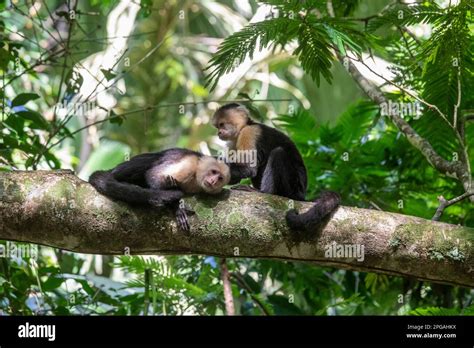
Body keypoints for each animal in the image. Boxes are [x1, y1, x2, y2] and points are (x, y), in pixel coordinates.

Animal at [90, 147, 231, 231]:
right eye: (213, 172)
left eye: (220, 178)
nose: (213, 181)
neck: (197, 176)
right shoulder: (189, 165)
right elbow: (153, 174)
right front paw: (177, 207)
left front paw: (176, 207)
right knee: (148, 162)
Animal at [212, 103, 340, 234]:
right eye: (217, 126)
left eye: (222, 124)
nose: (219, 132)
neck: (244, 127)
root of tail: (301, 195)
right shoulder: (232, 143)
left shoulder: (249, 133)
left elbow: (248, 169)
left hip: (292, 188)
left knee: (278, 153)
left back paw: (264, 192)